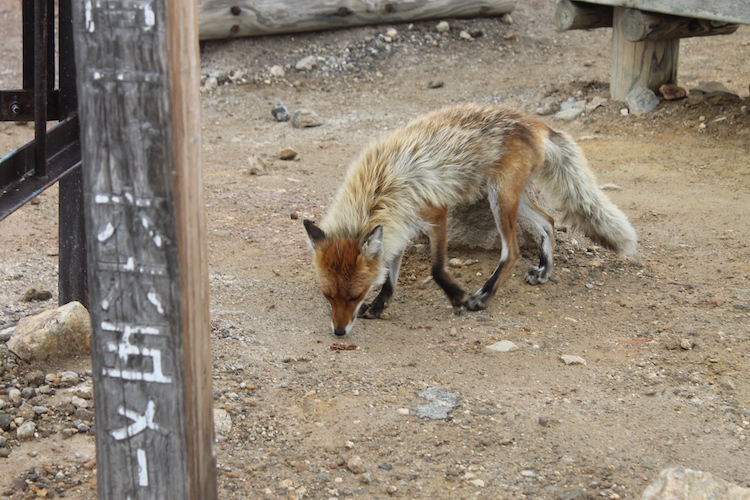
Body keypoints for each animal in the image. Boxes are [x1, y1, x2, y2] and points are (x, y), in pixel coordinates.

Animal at [306, 104, 640, 336]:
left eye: (354, 296)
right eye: (327, 296)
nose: (339, 332)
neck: (383, 184)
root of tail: (537, 123)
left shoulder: (436, 212)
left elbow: (437, 268)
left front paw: (458, 299)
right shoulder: (398, 224)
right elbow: (389, 276)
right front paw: (379, 306)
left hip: (500, 197)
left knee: (512, 251)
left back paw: (483, 297)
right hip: (511, 197)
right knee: (548, 221)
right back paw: (544, 270)